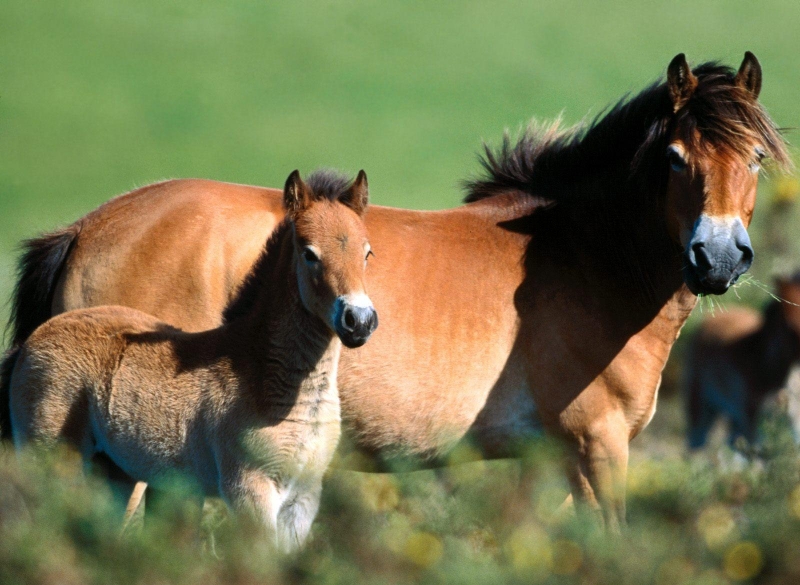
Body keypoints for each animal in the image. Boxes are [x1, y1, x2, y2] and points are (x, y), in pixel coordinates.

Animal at [8, 170, 378, 552]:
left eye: (367, 252)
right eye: (309, 253)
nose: (359, 320)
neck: (260, 371)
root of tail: (33, 340)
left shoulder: (303, 498)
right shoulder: (249, 490)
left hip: (113, 472)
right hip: (51, 461)